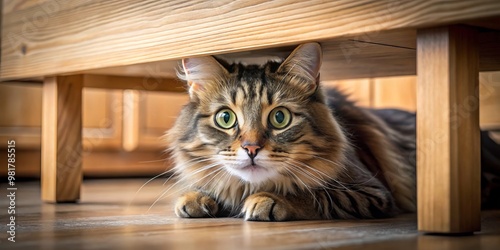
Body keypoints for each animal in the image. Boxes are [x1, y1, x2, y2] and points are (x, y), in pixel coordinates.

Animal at [166, 42, 494, 221]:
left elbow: (314, 194)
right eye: (225, 118)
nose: (251, 148)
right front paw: (195, 197)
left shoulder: (372, 191)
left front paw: (270, 199)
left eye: (280, 118)